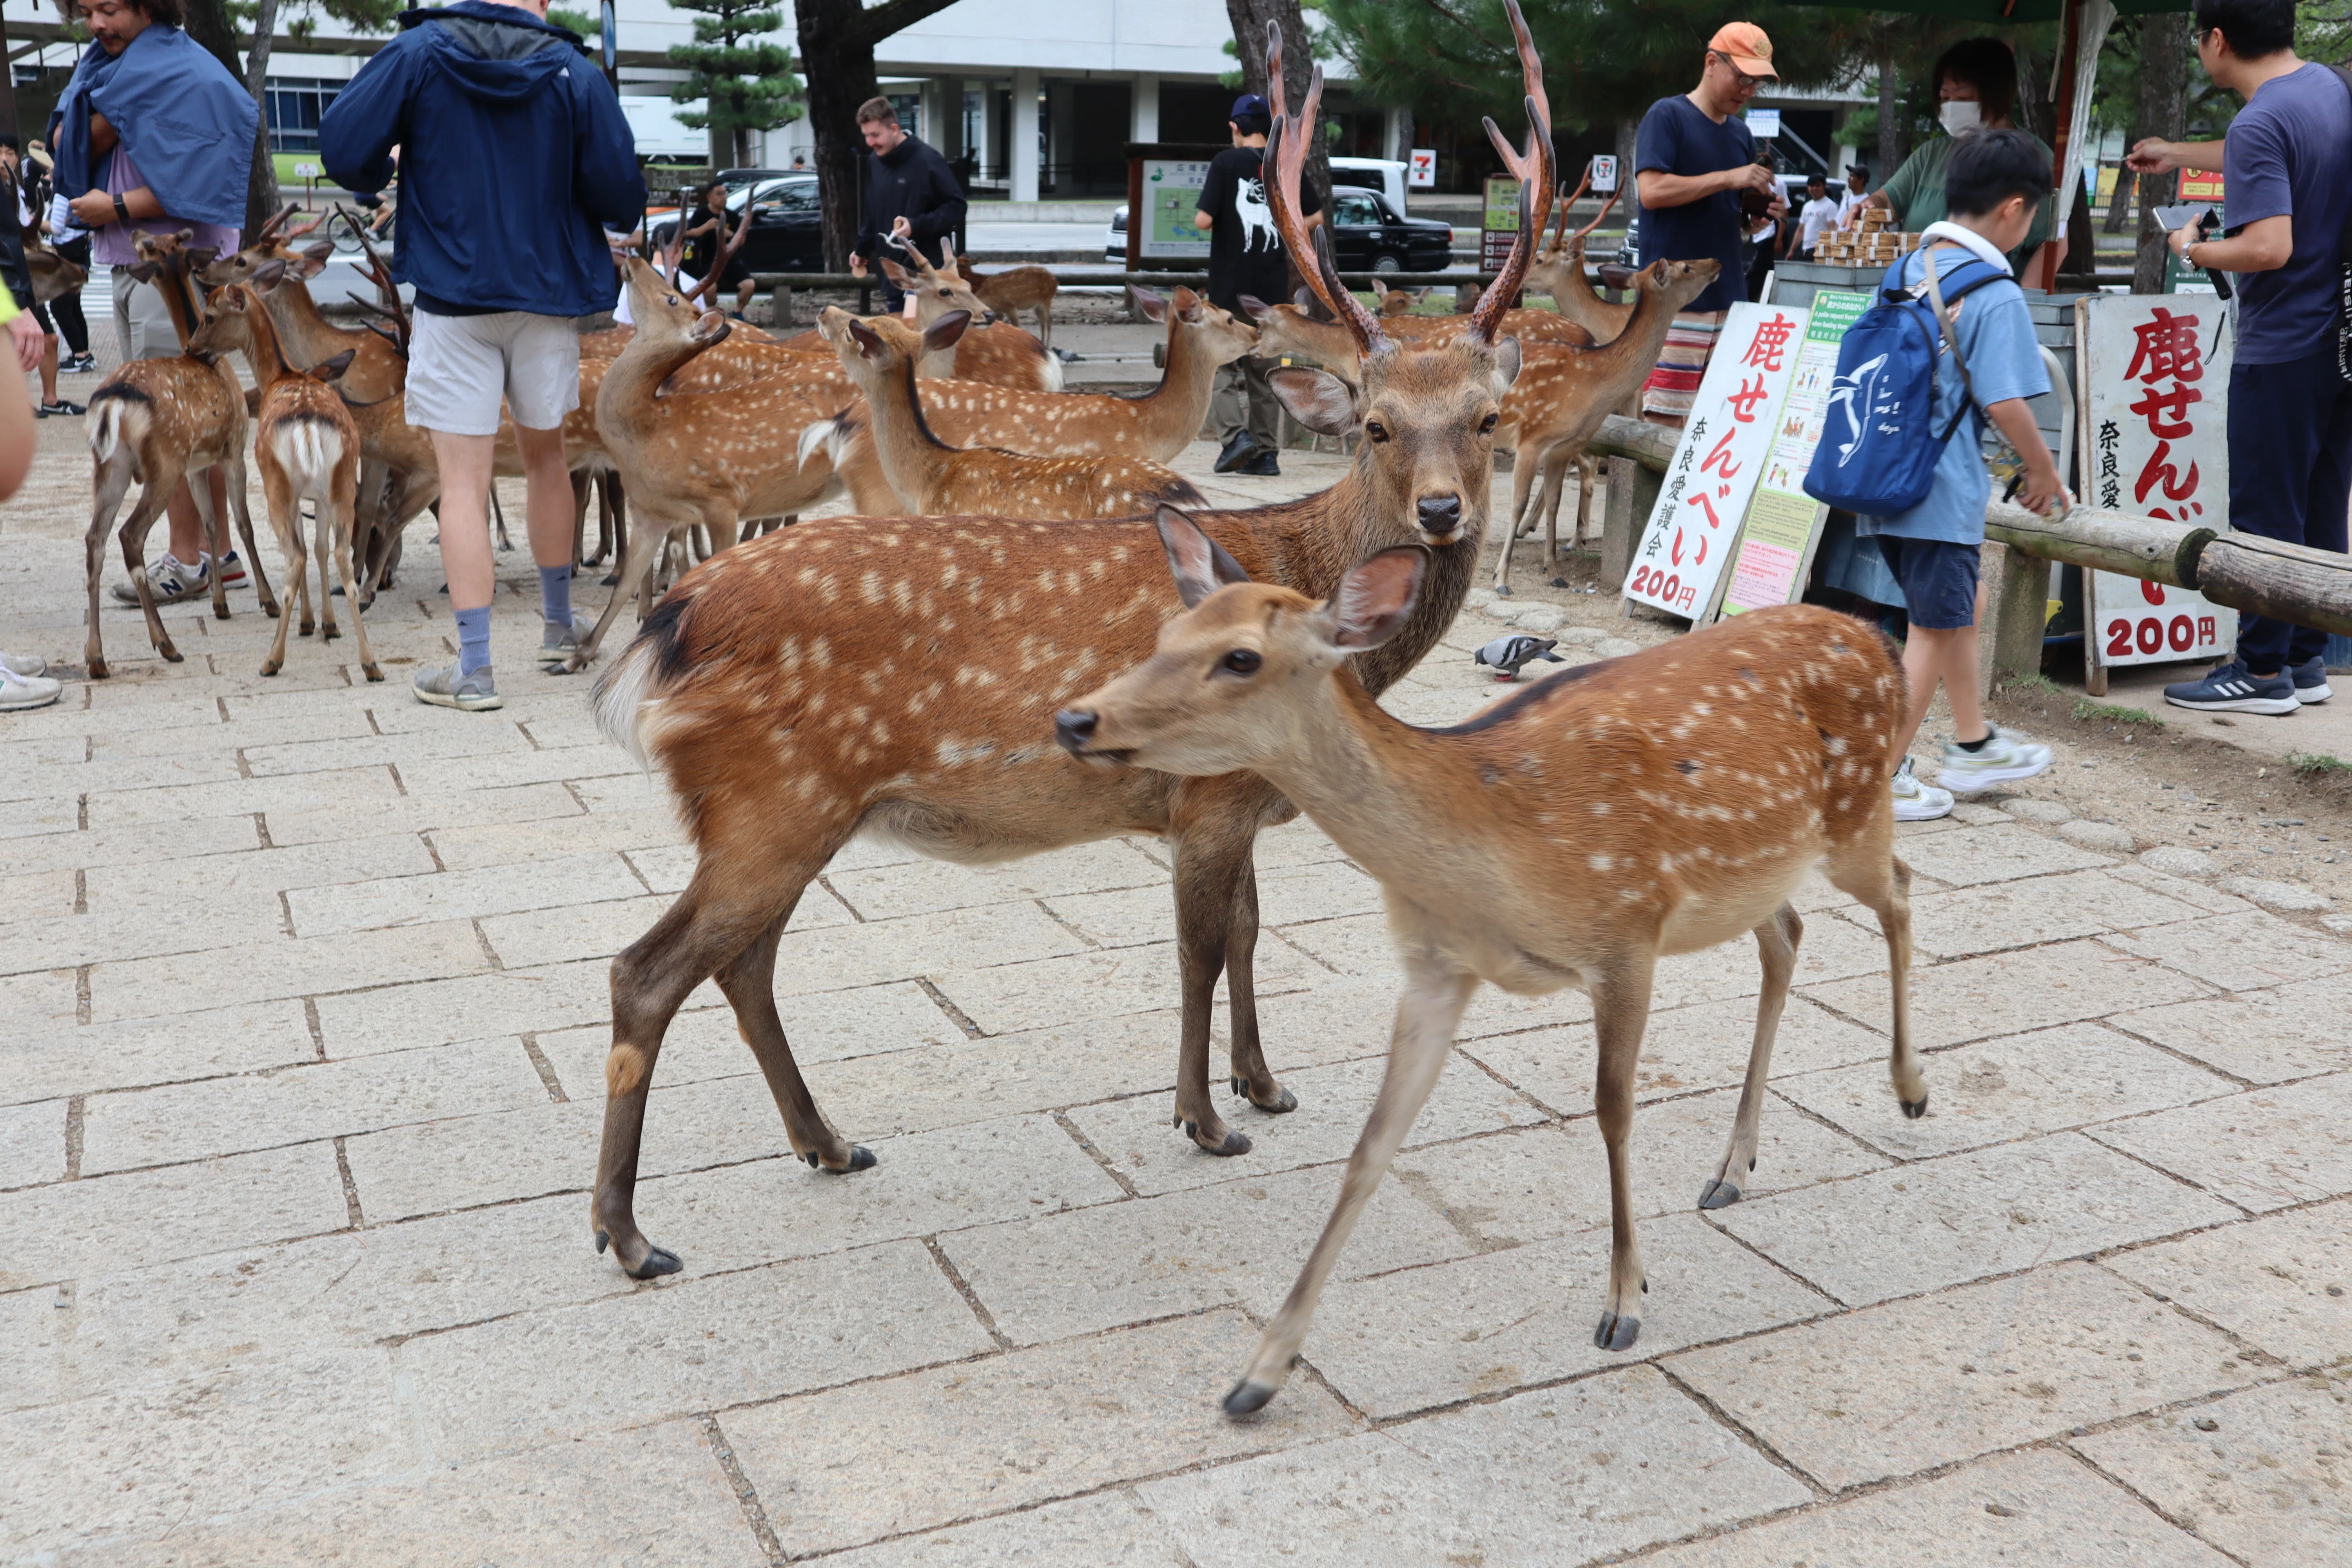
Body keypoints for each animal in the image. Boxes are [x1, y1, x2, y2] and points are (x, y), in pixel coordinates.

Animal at [80, 232, 270, 679]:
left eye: (154, 243)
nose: (133, 234)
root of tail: (112, 403)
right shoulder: (234, 447)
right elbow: (243, 523)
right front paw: (267, 600)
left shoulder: (197, 465)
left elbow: (212, 525)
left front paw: (220, 605)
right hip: (163, 464)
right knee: (130, 534)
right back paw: (165, 644)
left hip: (110, 468)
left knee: (95, 539)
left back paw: (97, 658)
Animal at [186, 281, 377, 682]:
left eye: (209, 316)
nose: (191, 349)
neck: (279, 375)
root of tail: (307, 428)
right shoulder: (317, 497)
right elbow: (321, 548)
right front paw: (328, 625)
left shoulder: (287, 490)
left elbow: (305, 550)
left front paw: (309, 624)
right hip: (342, 484)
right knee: (342, 559)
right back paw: (370, 663)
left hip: (277, 486)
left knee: (294, 556)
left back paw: (272, 659)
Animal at [953, 252, 1059, 350]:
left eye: (962, 265)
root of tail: (1056, 281)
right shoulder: (999, 312)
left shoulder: (1010, 306)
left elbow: (1017, 326)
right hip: (1037, 306)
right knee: (1043, 321)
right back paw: (1043, 343)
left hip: (1047, 298)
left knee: (1049, 320)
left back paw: (1047, 346)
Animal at [1054, 511, 1916, 1415]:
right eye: (1166, 634)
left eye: (1242, 657)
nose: (1076, 720)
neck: (1493, 841)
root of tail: (1872, 635)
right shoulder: (1437, 967)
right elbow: (1371, 1147)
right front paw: (1261, 1371)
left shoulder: (1626, 934)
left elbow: (1613, 1111)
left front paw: (1624, 1300)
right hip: (1759, 871)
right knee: (1789, 934)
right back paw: (1733, 1169)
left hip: (1857, 812)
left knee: (1899, 888)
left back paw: (1909, 1088)